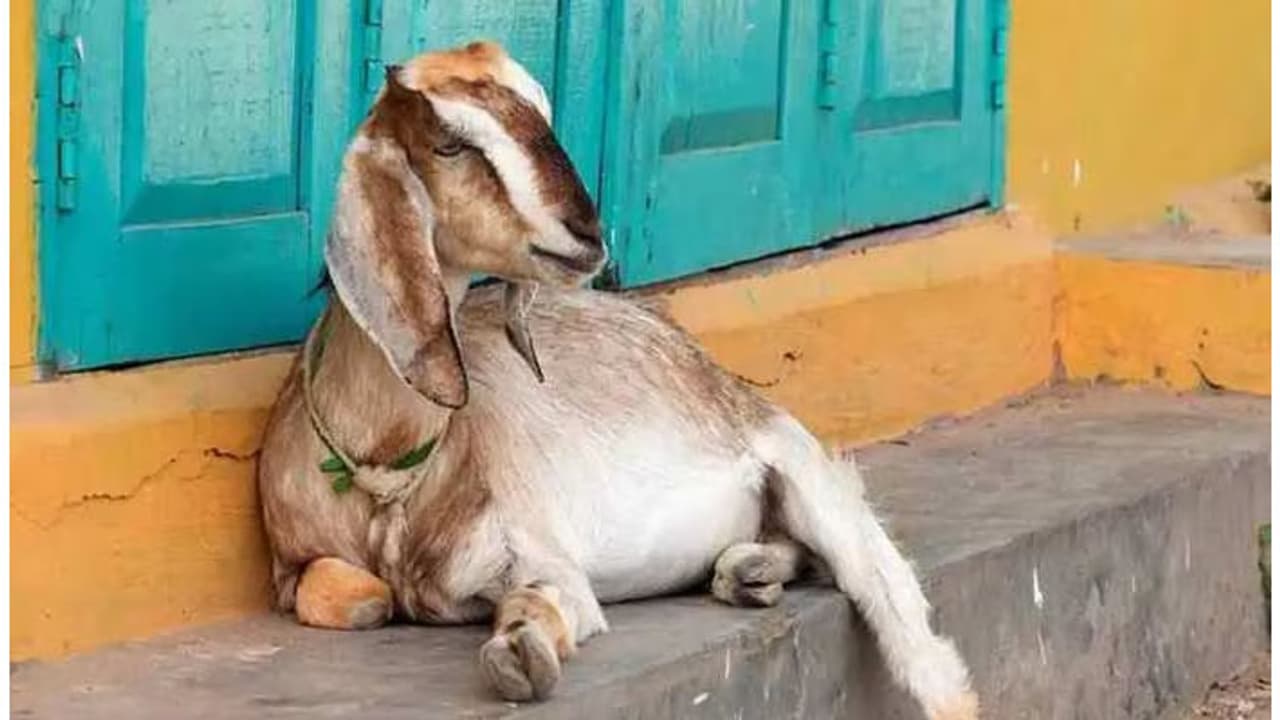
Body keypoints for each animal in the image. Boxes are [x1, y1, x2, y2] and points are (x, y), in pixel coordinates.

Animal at [257, 41, 978, 720]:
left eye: (540, 112)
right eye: (451, 142)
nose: (587, 233)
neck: (383, 469)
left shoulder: (539, 555)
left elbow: (543, 601)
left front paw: (520, 655)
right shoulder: (294, 566)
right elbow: (347, 594)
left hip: (807, 472)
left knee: (903, 616)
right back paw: (749, 571)